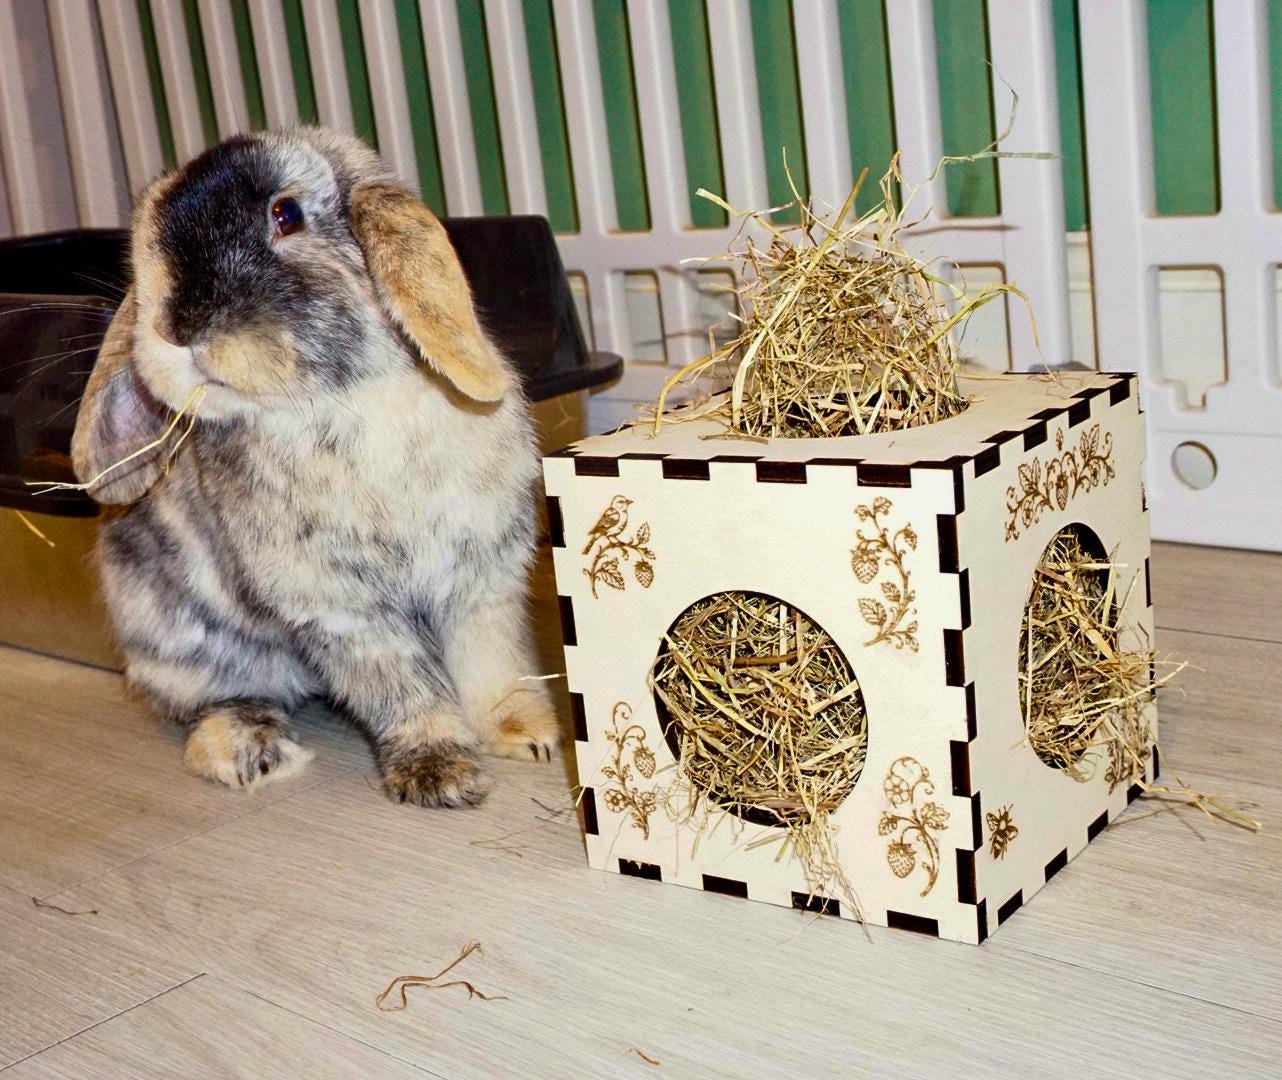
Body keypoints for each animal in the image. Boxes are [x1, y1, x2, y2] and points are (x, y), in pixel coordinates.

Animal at [70, 127, 560, 807]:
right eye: (147, 237)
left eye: (287, 214)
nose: (175, 329)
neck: (340, 402)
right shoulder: (340, 609)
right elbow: (401, 688)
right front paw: (439, 776)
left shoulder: (482, 580)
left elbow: (491, 662)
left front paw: (531, 738)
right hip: (183, 645)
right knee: (217, 702)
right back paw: (244, 753)